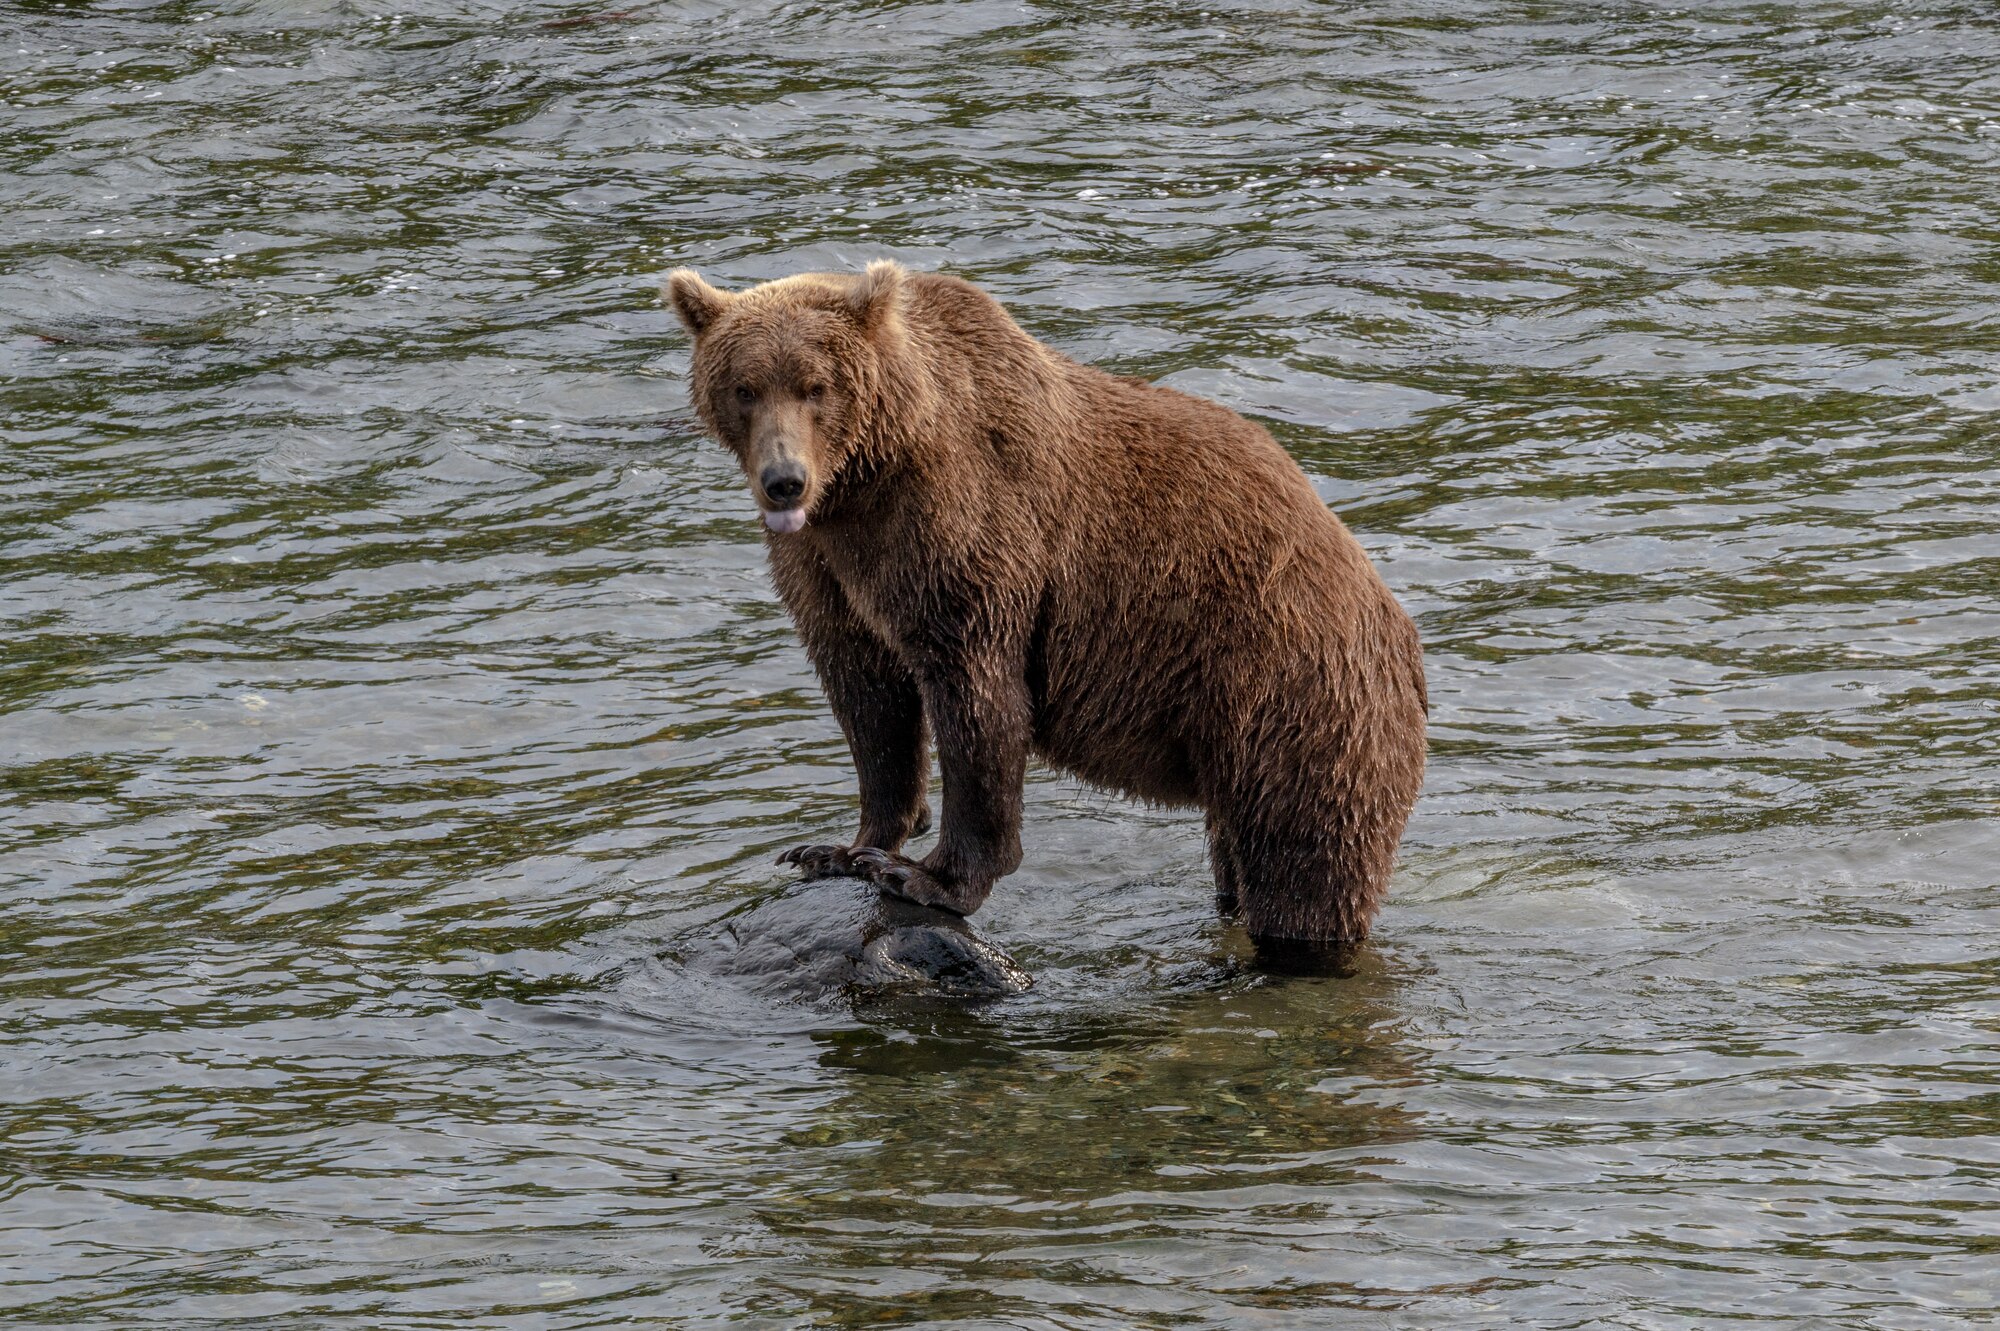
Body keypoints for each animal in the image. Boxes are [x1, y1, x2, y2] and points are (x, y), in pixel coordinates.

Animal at [664, 259, 1432, 943]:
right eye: (744, 387)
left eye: (815, 386)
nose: (784, 480)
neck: (865, 482)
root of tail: (1396, 626)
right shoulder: (828, 570)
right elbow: (871, 701)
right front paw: (836, 849)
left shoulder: (965, 530)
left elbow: (976, 700)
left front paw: (929, 876)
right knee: (1240, 856)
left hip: (1289, 695)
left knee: (1303, 862)